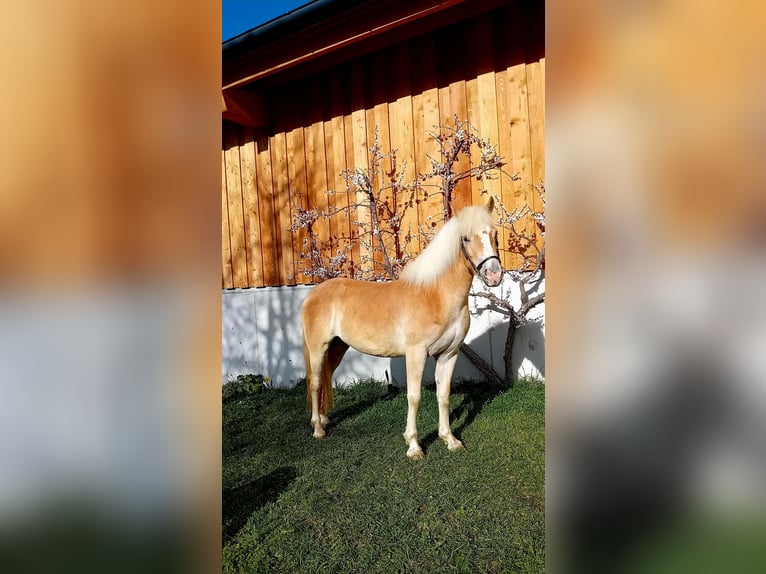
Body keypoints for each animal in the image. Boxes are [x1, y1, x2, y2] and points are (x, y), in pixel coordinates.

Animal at [300, 200, 504, 462]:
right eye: (466, 238)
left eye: (495, 235)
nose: (494, 274)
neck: (436, 295)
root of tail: (313, 294)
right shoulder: (416, 354)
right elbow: (414, 397)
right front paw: (414, 446)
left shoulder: (449, 354)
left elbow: (444, 396)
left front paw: (450, 440)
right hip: (318, 349)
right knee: (316, 383)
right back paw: (318, 429)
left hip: (337, 348)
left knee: (326, 379)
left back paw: (325, 420)